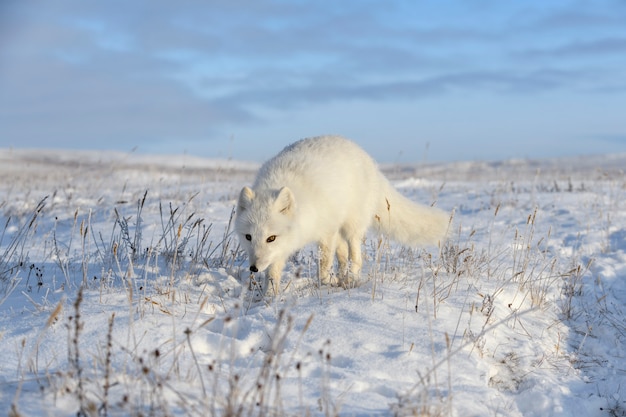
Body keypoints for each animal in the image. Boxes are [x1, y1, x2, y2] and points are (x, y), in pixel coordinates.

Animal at [235, 136, 448, 292]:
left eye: (270, 238)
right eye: (248, 237)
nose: (253, 268)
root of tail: (368, 160)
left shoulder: (326, 232)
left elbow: (324, 262)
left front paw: (324, 283)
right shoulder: (284, 246)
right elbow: (272, 273)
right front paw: (269, 297)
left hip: (351, 226)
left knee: (355, 255)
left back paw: (351, 278)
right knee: (343, 255)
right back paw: (342, 277)